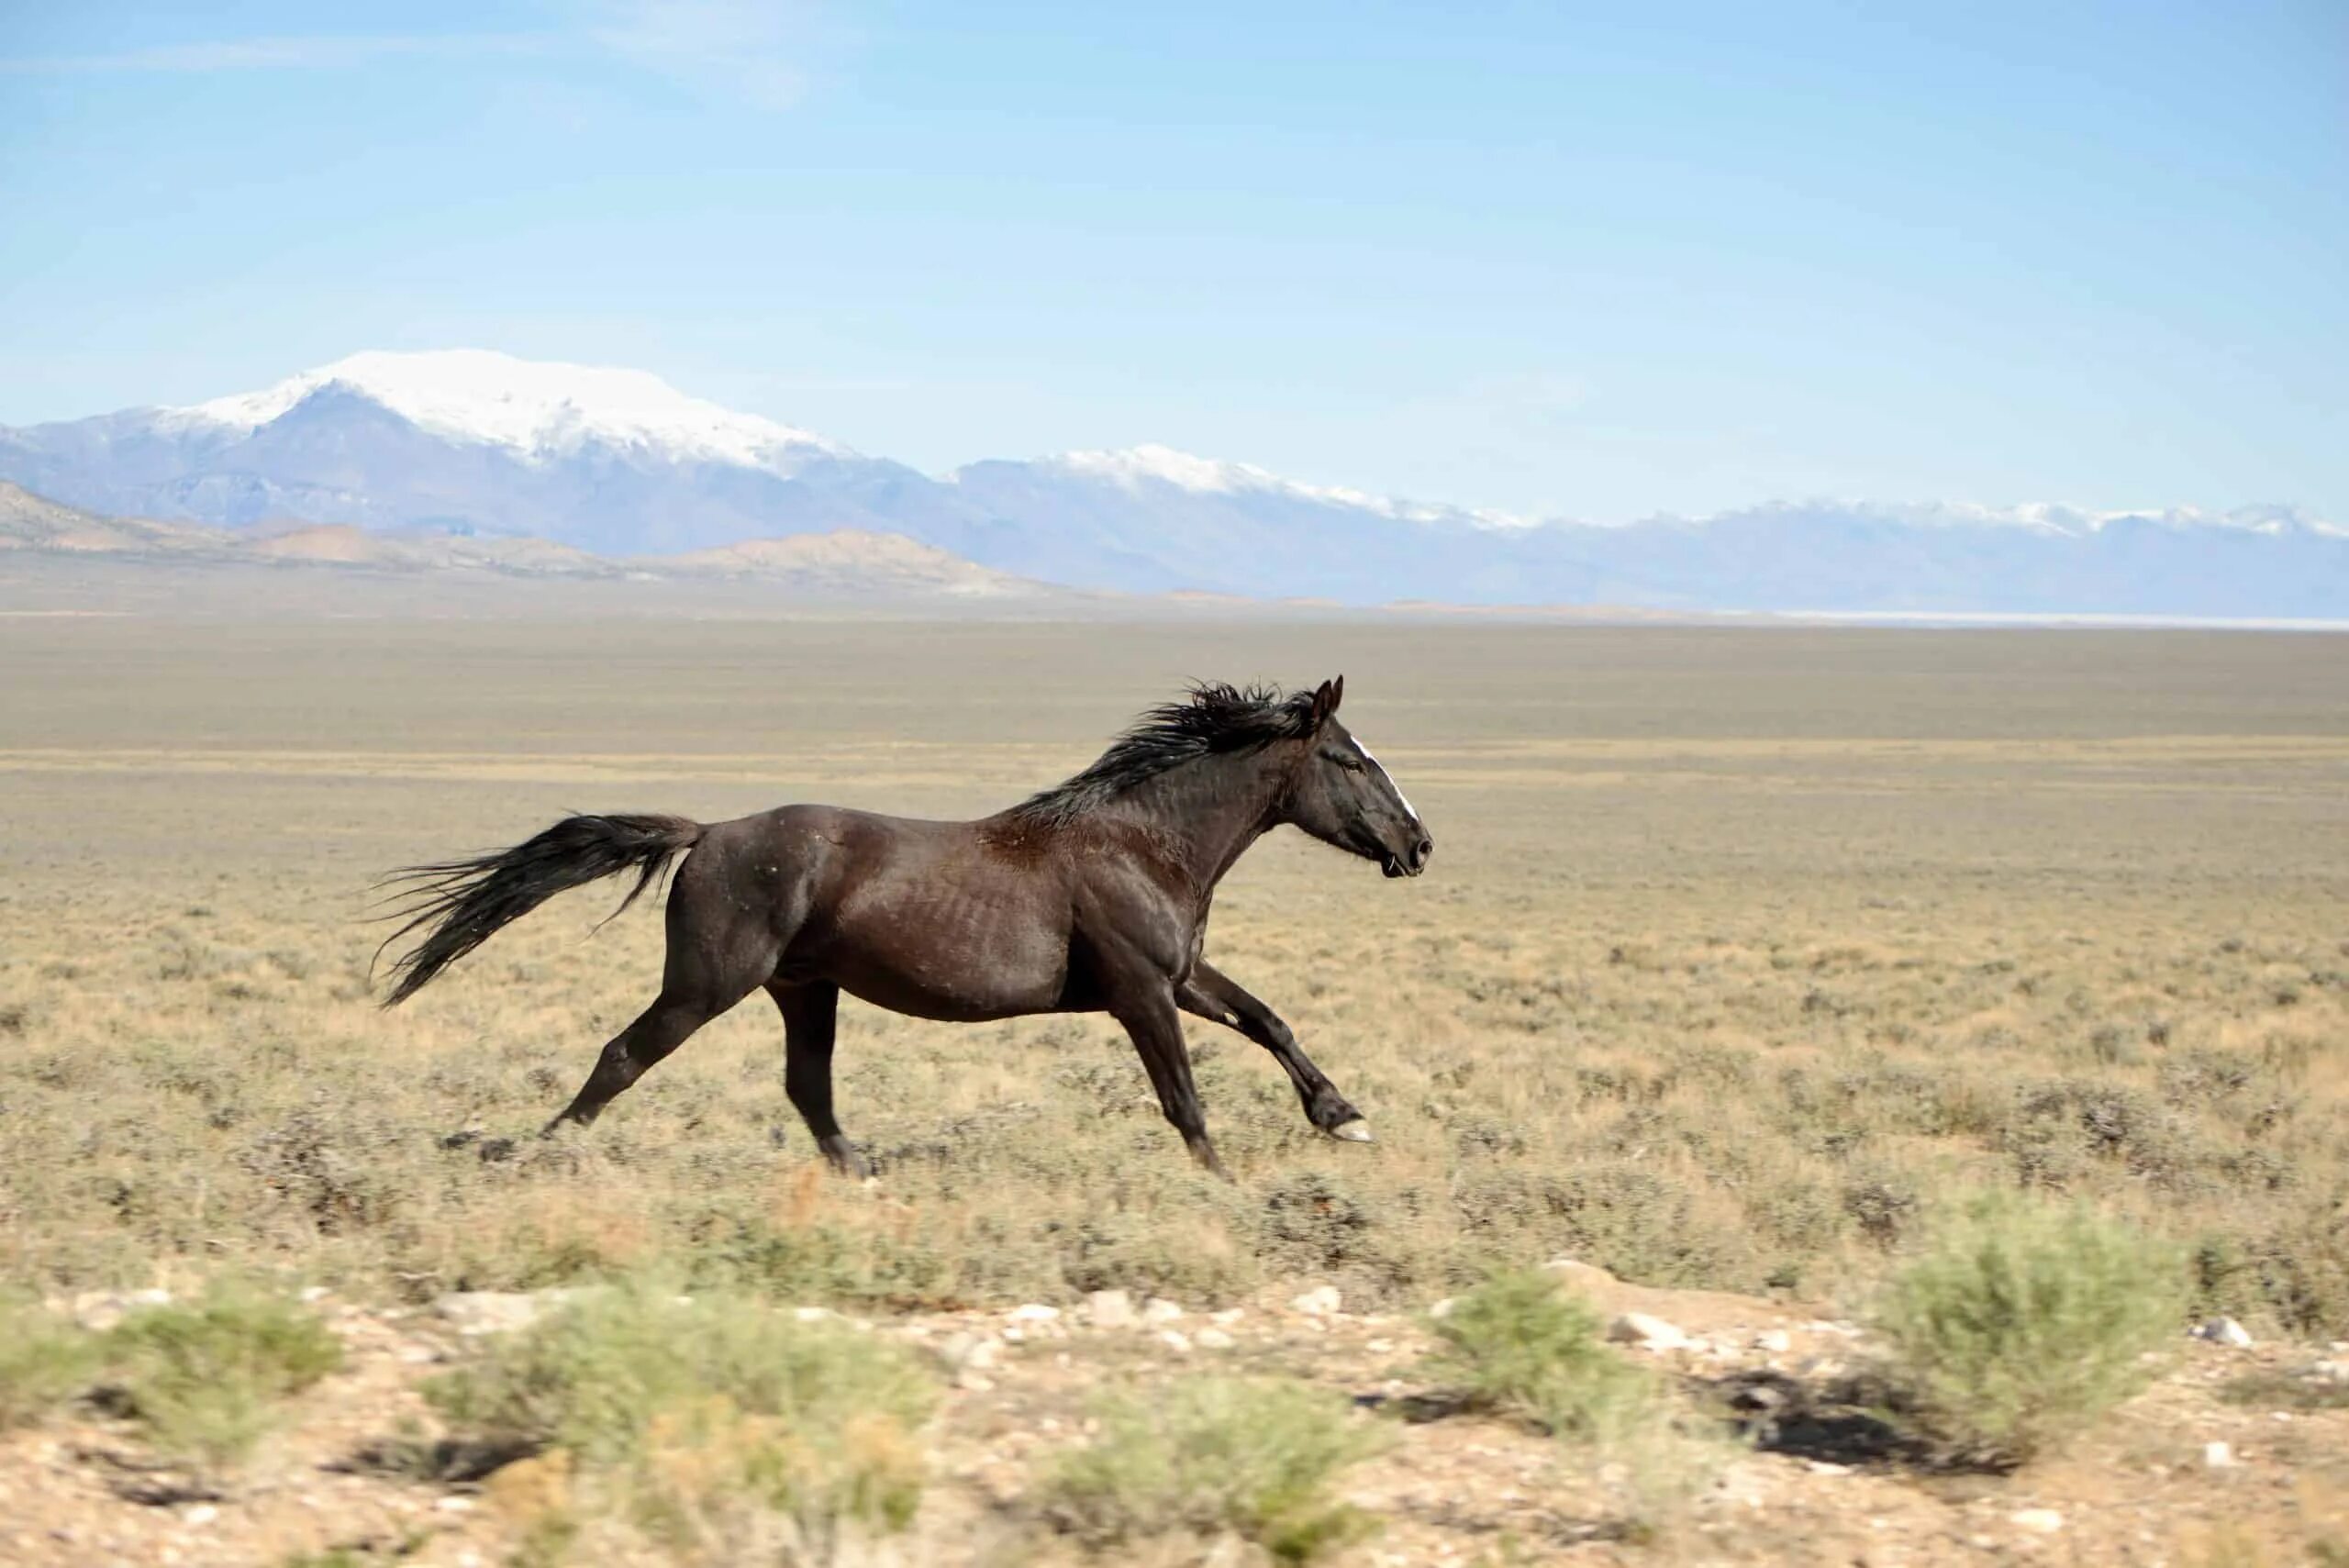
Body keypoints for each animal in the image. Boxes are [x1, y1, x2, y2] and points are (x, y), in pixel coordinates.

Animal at [375, 675, 1428, 1173]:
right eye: (1349, 758)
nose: (1418, 844)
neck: (1140, 841)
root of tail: (707, 834)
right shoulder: (1139, 992)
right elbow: (1185, 1098)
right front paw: (1224, 1182)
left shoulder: (1179, 977)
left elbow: (1270, 1020)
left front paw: (1344, 1117)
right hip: (708, 983)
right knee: (622, 1055)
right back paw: (545, 1152)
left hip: (804, 988)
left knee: (806, 1086)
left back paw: (862, 1170)